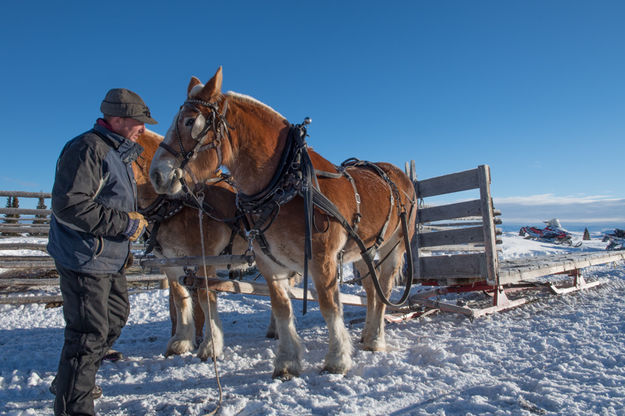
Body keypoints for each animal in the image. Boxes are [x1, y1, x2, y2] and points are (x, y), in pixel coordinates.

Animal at [149, 66, 416, 378]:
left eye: (190, 121)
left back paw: (374, 339)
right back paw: (366, 333)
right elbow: (282, 307)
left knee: (384, 289)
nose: (157, 175)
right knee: (372, 292)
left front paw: (337, 359)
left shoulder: (322, 258)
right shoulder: (269, 262)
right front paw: (287, 361)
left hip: (394, 247)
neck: (286, 183)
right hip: (363, 251)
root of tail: (397, 174)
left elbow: (329, 306)